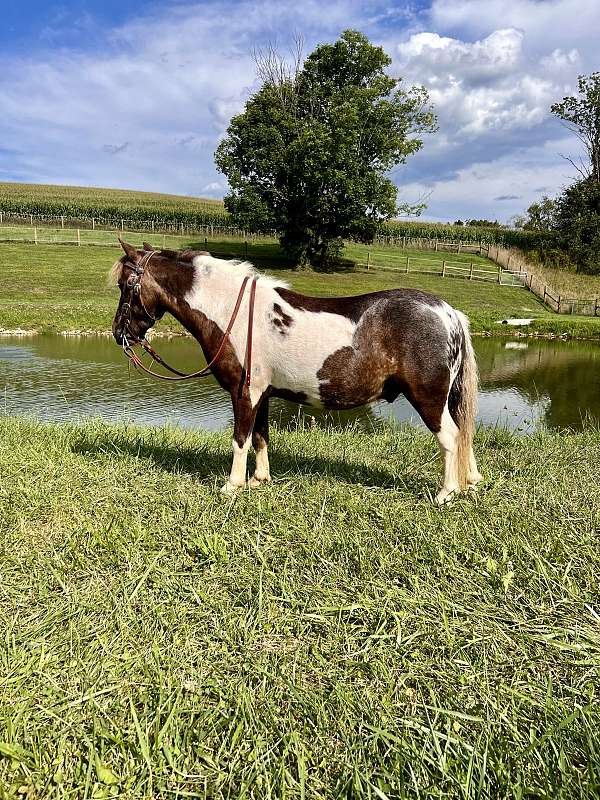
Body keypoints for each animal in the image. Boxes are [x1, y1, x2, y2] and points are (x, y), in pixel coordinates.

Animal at [110, 238, 480, 504]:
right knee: (463, 434)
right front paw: (259, 480)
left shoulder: (244, 393)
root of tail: (448, 313)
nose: (118, 333)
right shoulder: (261, 394)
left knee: (450, 437)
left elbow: (240, 439)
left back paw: (445, 493)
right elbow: (261, 436)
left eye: (125, 285)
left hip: (428, 399)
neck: (231, 311)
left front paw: (232, 485)